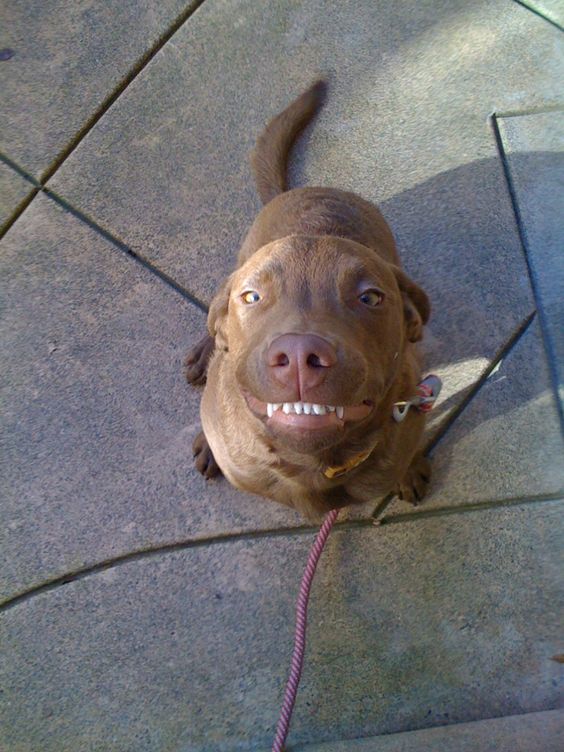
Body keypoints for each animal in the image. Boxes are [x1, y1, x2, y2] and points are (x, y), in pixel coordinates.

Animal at [186, 81, 432, 516]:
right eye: (252, 296)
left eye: (371, 297)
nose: (300, 356)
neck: (314, 465)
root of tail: (305, 189)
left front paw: (411, 467)